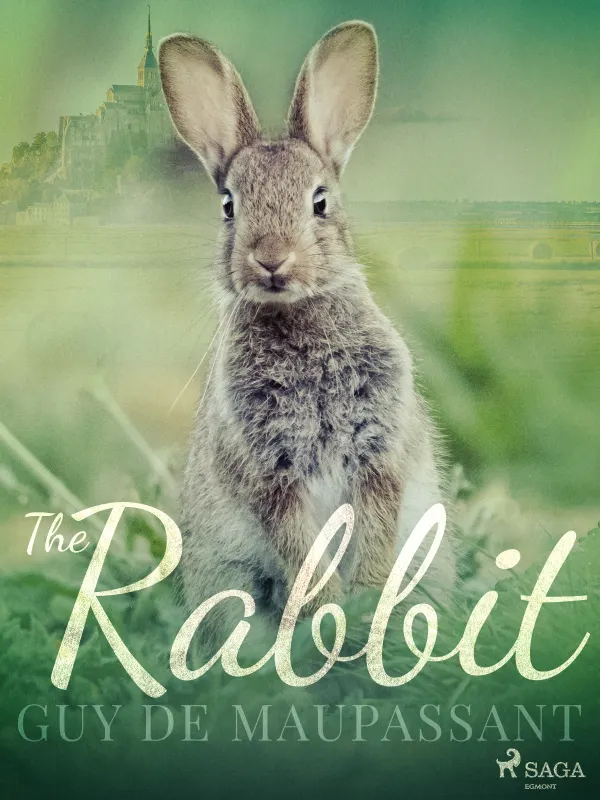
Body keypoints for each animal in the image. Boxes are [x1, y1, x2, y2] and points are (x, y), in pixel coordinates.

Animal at [159, 21, 457, 646]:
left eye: (320, 202)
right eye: (229, 206)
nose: (271, 260)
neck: (300, 321)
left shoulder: (379, 450)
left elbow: (377, 522)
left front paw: (366, 599)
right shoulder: (268, 472)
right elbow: (300, 546)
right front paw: (333, 609)